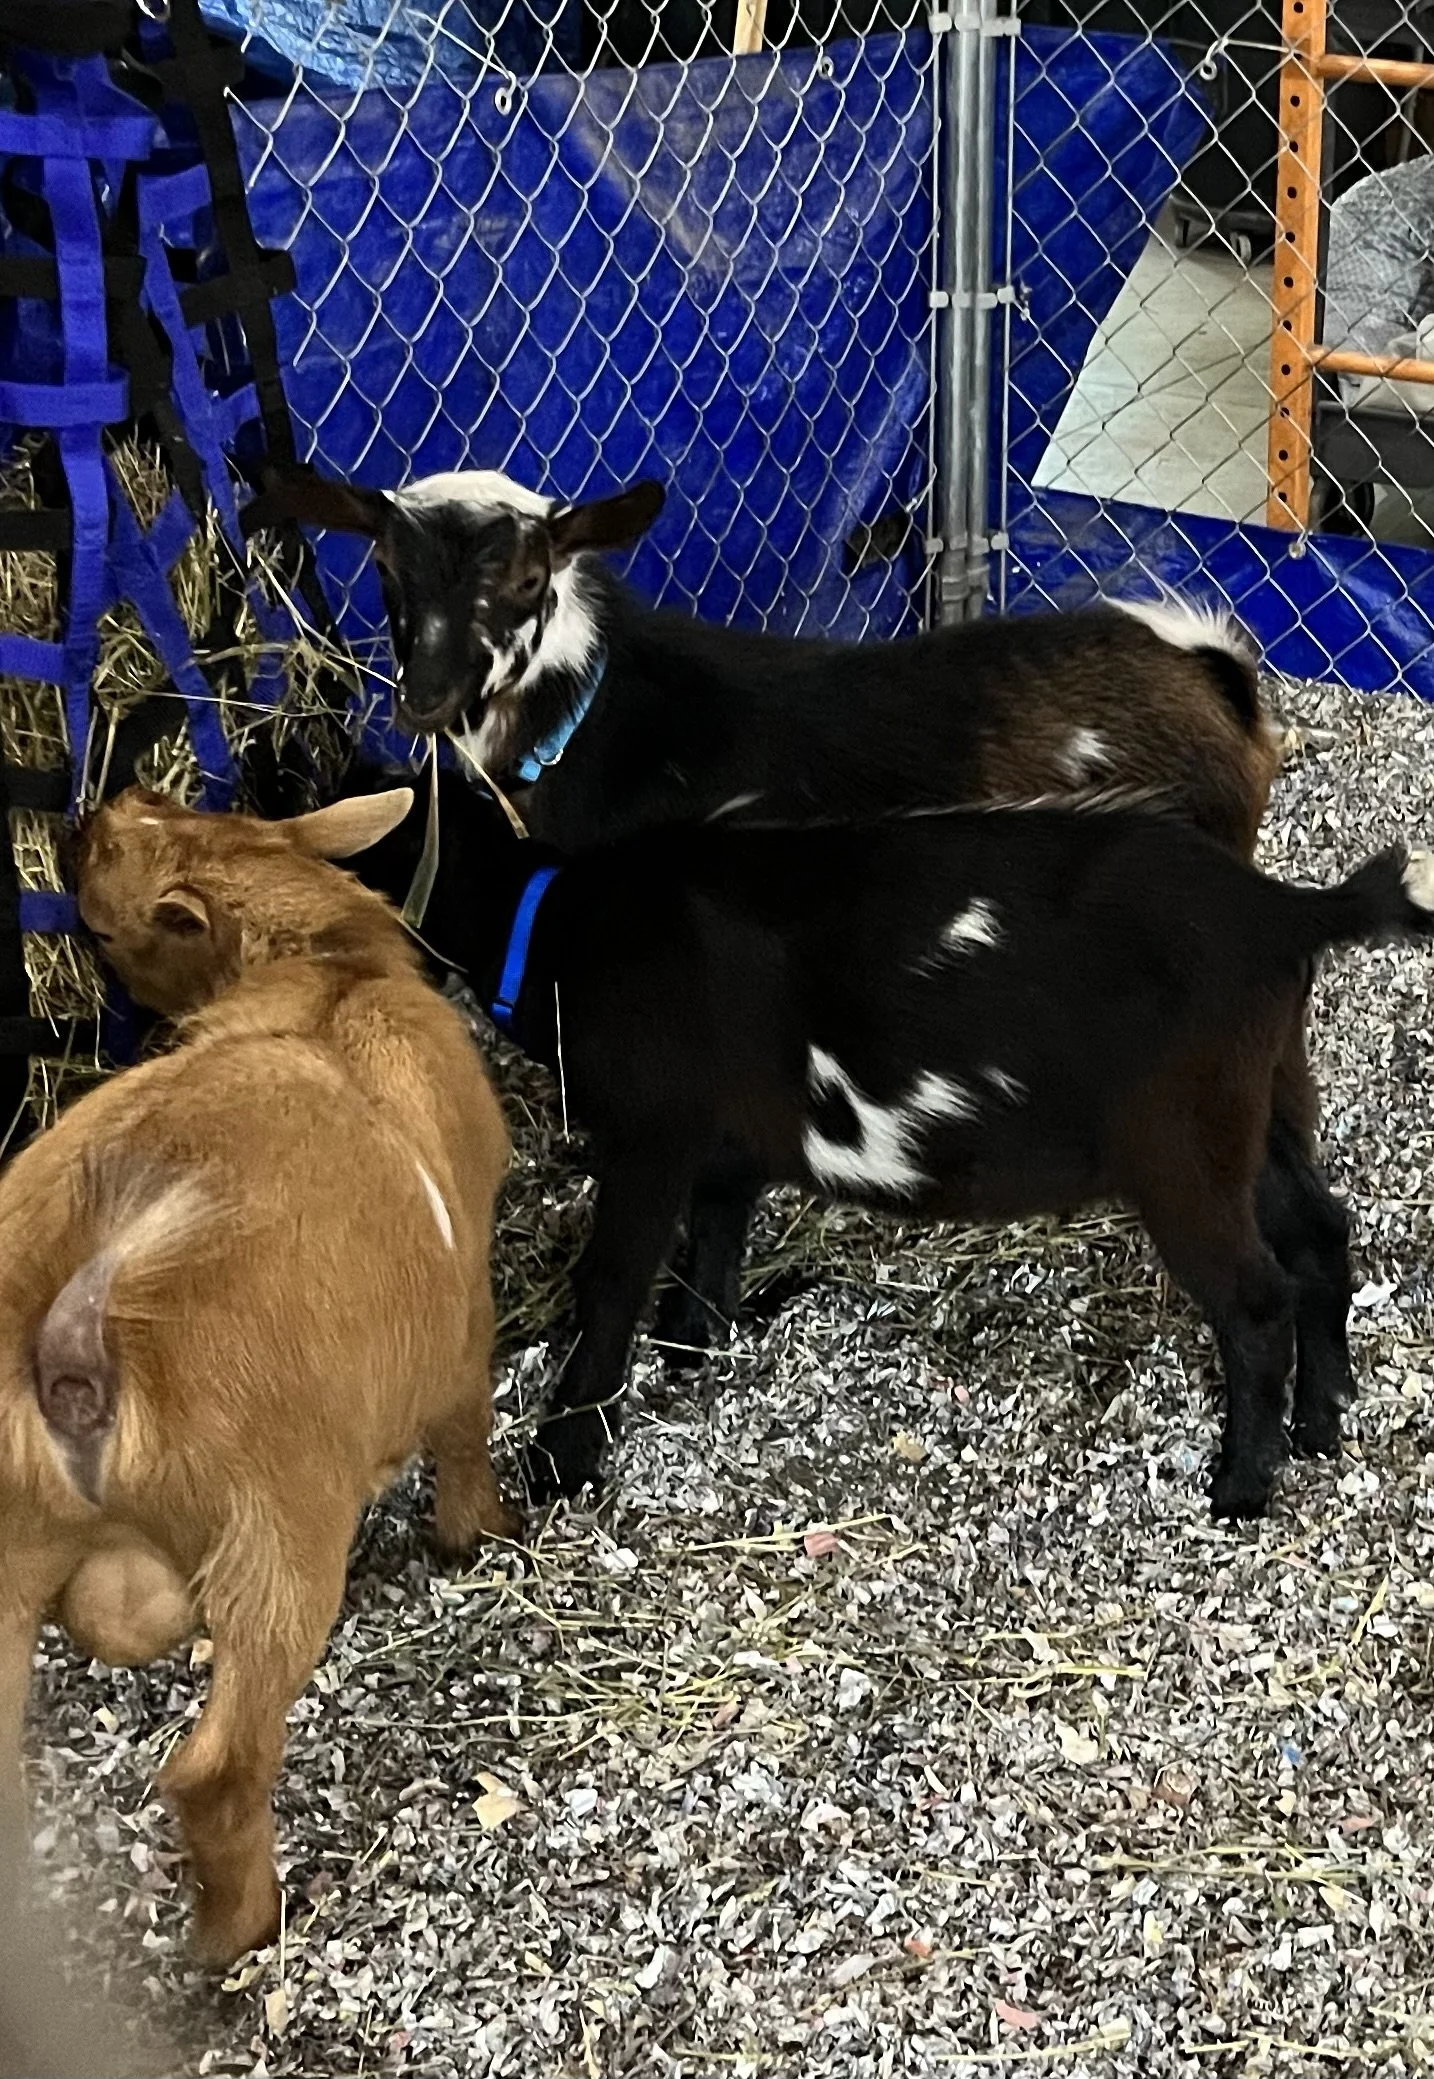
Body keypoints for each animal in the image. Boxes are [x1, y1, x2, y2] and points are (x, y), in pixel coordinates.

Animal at [0, 787, 516, 1970]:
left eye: (158, 807)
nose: (86, 816)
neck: (328, 974)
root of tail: (76, 1312)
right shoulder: (465, 1307)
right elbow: (466, 1426)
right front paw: (480, 1534)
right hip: (279, 1535)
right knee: (218, 1767)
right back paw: (243, 1931)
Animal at [347, 771, 1434, 1520]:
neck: (561, 927)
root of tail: (1283, 910)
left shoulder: (652, 1128)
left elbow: (612, 1278)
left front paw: (563, 1459)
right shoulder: (725, 1139)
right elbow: (717, 1230)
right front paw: (695, 1342)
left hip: (1182, 1142)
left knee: (1255, 1297)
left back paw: (1241, 1486)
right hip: (1263, 1105)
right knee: (1319, 1234)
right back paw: (1322, 1420)